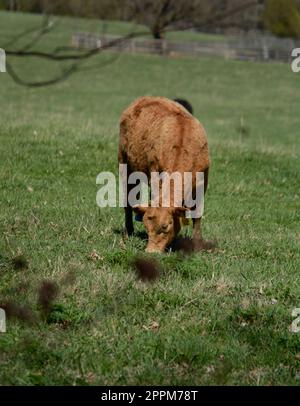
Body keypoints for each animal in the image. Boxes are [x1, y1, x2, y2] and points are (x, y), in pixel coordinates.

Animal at [118, 96, 210, 252]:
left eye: (165, 226)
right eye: (147, 228)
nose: (150, 252)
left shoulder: (202, 183)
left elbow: (197, 214)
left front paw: (197, 243)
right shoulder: (155, 173)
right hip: (125, 165)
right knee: (128, 201)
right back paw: (128, 231)